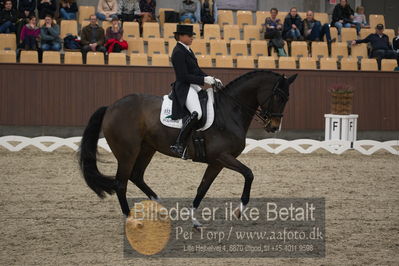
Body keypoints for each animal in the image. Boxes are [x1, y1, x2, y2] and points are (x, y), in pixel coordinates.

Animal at [79, 69, 296, 223]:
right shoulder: (222, 156)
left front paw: (194, 220)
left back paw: (161, 208)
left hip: (147, 149)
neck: (229, 111)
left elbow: (203, 188)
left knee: (136, 176)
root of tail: (111, 107)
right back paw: (130, 218)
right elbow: (249, 174)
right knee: (121, 183)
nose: (274, 127)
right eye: (279, 96)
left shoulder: (217, 162)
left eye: (287, 98)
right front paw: (239, 210)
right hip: (127, 153)